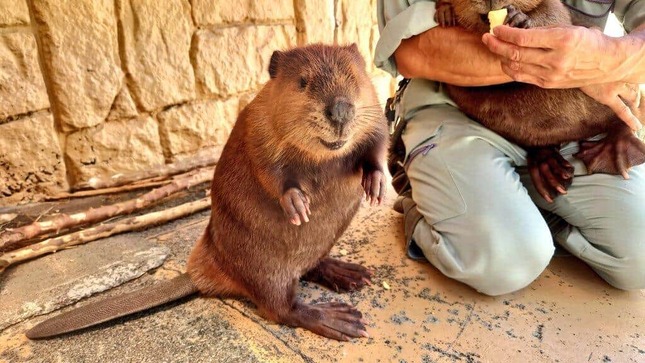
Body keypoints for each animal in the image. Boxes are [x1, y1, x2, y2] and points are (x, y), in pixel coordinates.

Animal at [25, 44, 388, 342]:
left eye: (354, 77)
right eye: (302, 82)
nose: (340, 111)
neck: (320, 155)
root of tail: (199, 275)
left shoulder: (374, 109)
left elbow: (378, 140)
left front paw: (376, 185)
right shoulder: (256, 124)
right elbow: (268, 169)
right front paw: (297, 204)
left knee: (309, 268)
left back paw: (350, 274)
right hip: (262, 266)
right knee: (280, 308)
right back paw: (339, 319)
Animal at [432, 0, 644, 200]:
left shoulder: (560, 11)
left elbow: (556, 15)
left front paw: (518, 20)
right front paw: (445, 13)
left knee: (626, 117)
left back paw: (615, 149)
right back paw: (551, 172)